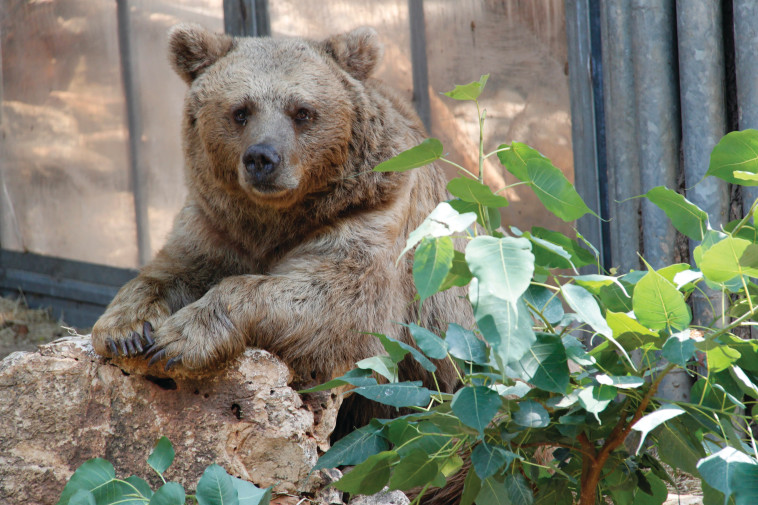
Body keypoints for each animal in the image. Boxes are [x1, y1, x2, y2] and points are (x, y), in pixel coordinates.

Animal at [89, 25, 472, 430]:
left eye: (302, 111)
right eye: (240, 111)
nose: (262, 157)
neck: (278, 219)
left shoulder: (370, 214)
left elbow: (339, 303)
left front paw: (180, 337)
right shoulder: (217, 227)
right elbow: (169, 271)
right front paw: (125, 330)